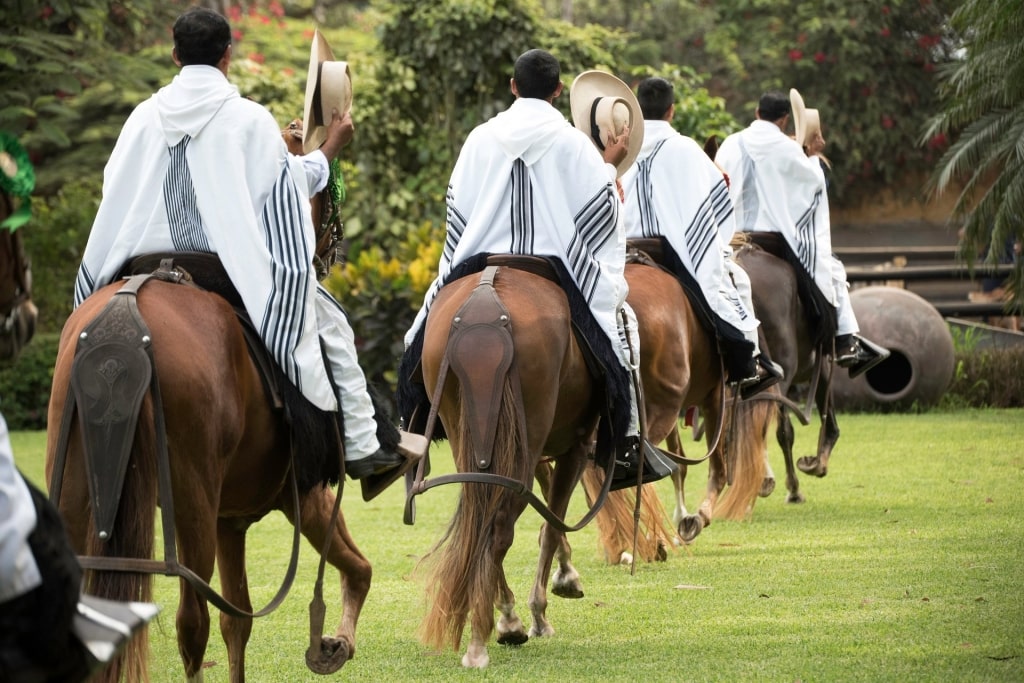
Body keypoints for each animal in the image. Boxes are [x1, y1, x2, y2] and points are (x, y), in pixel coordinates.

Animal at [46, 124, 372, 683]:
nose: (331, 251)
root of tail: (125, 320)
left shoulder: (231, 519)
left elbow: (236, 621)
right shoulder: (301, 494)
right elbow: (357, 567)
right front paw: (338, 643)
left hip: (80, 490)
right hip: (191, 500)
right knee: (190, 621)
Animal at [415, 260, 602, 667]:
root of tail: (484, 304)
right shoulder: (575, 447)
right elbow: (551, 524)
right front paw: (542, 610)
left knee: (482, 513)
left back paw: (497, 621)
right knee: (500, 523)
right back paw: (488, 637)